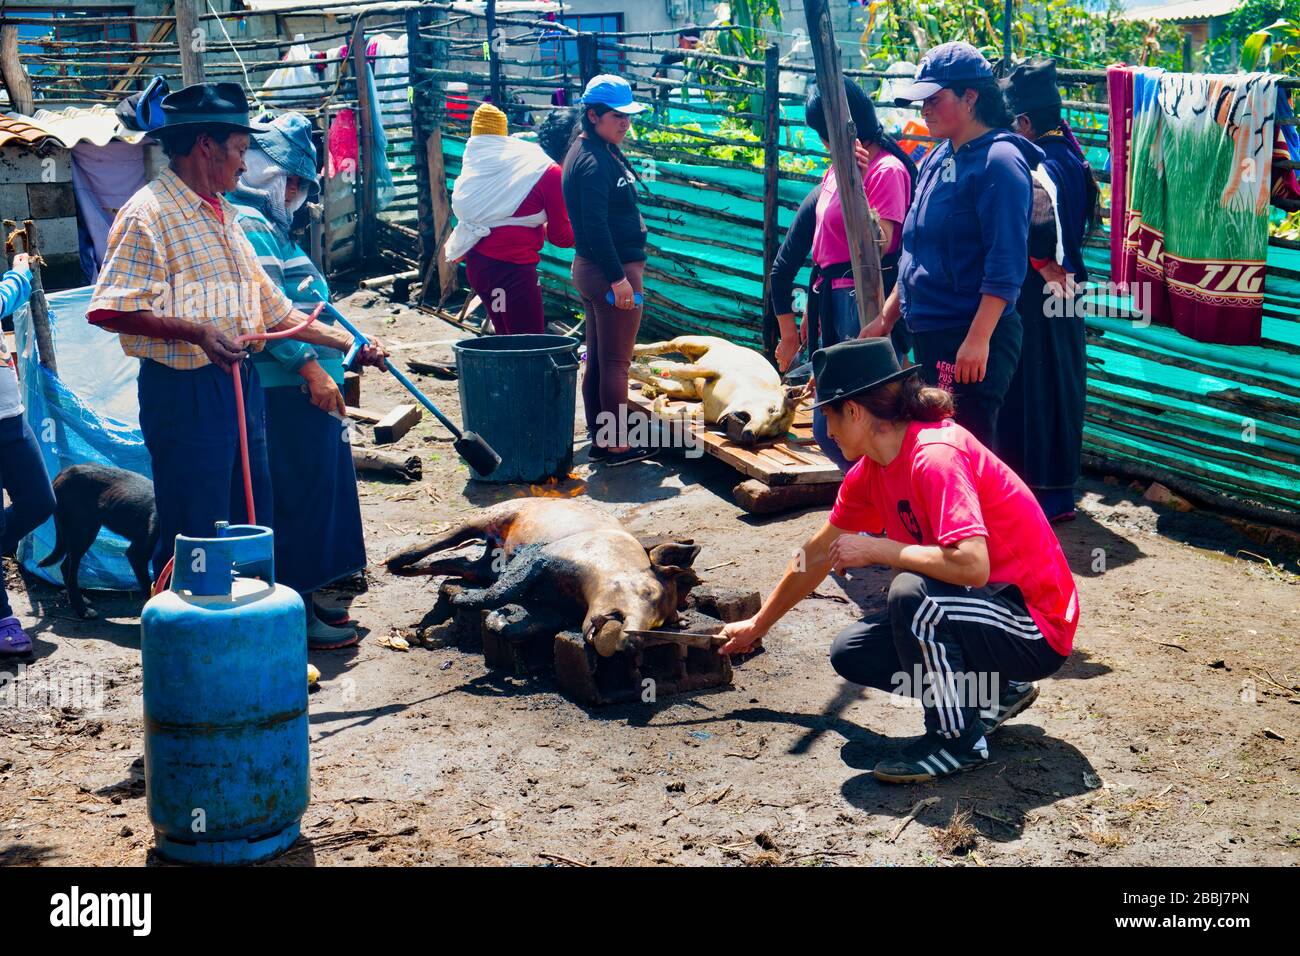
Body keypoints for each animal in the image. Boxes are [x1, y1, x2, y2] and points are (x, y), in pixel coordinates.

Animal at [39, 465, 157, 621]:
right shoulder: (137, 554)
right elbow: (150, 586)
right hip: (83, 533)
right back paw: (82, 609)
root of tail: (65, 471)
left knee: (65, 567)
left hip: (83, 532)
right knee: (69, 571)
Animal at [379, 496, 696, 655]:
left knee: (459, 562)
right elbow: (503, 590)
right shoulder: (540, 557)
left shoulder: (555, 612)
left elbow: (524, 629)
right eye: (647, 592)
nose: (631, 645)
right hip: (493, 514)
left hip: (483, 565)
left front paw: (498, 619)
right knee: (448, 538)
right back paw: (395, 561)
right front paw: (466, 600)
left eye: (659, 624)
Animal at [631, 335, 811, 444]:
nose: (749, 436)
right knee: (665, 345)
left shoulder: (701, 408)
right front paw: (673, 369)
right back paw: (636, 350)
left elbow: (673, 411)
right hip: (694, 342)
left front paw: (662, 402)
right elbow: (683, 368)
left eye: (770, 435)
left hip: (687, 389)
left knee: (653, 377)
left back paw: (638, 371)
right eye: (772, 409)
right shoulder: (717, 371)